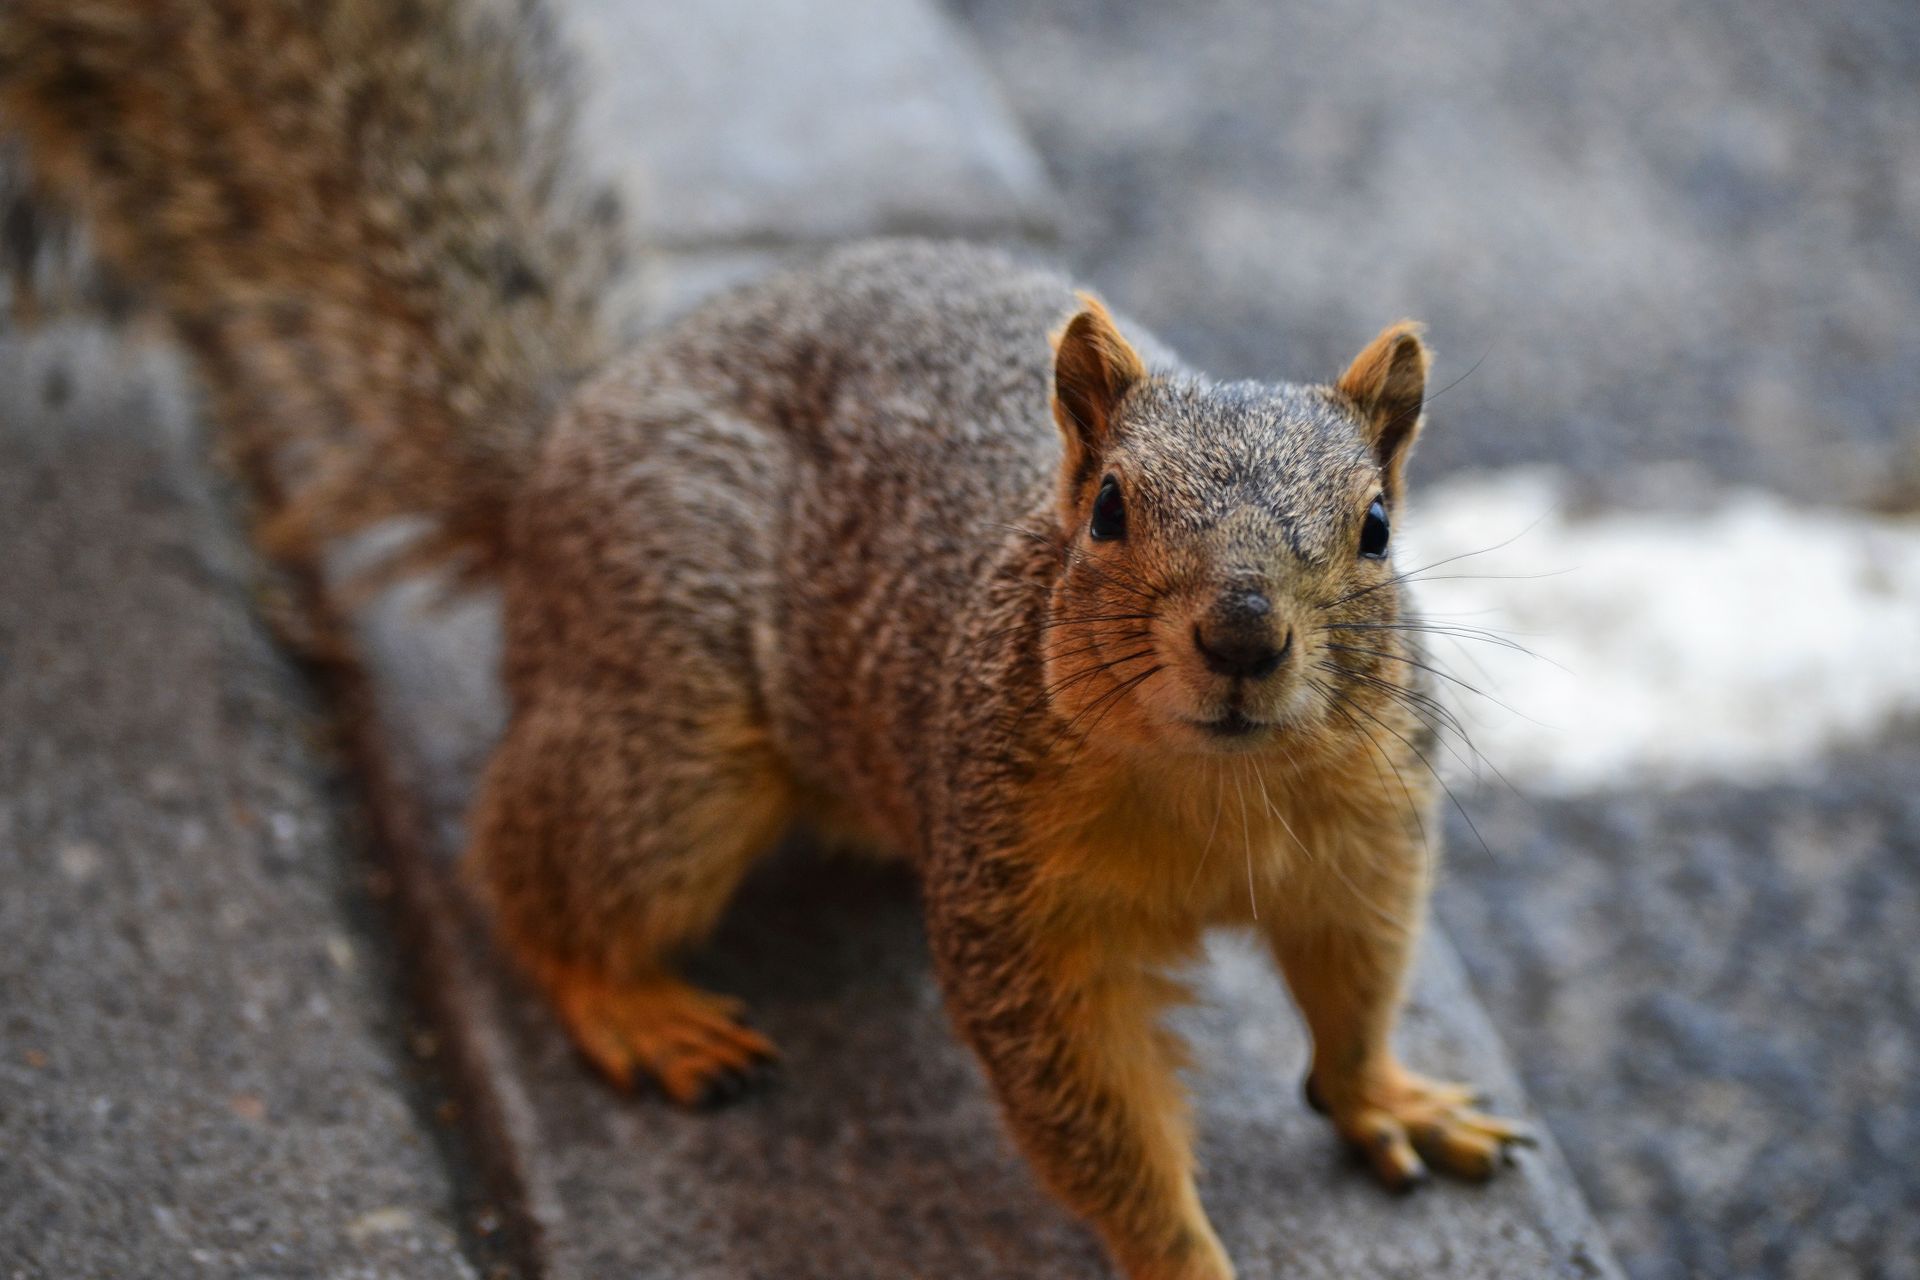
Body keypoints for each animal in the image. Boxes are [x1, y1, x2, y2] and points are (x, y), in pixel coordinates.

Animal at [2, 2, 1530, 1276]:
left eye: (1378, 524)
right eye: (1105, 509)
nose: (1243, 634)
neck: (1218, 788)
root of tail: (554, 454)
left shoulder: (1366, 834)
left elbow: (1358, 984)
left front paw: (1387, 1096)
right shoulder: (1019, 903)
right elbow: (1090, 1108)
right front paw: (1182, 1257)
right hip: (671, 739)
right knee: (525, 864)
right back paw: (631, 1003)